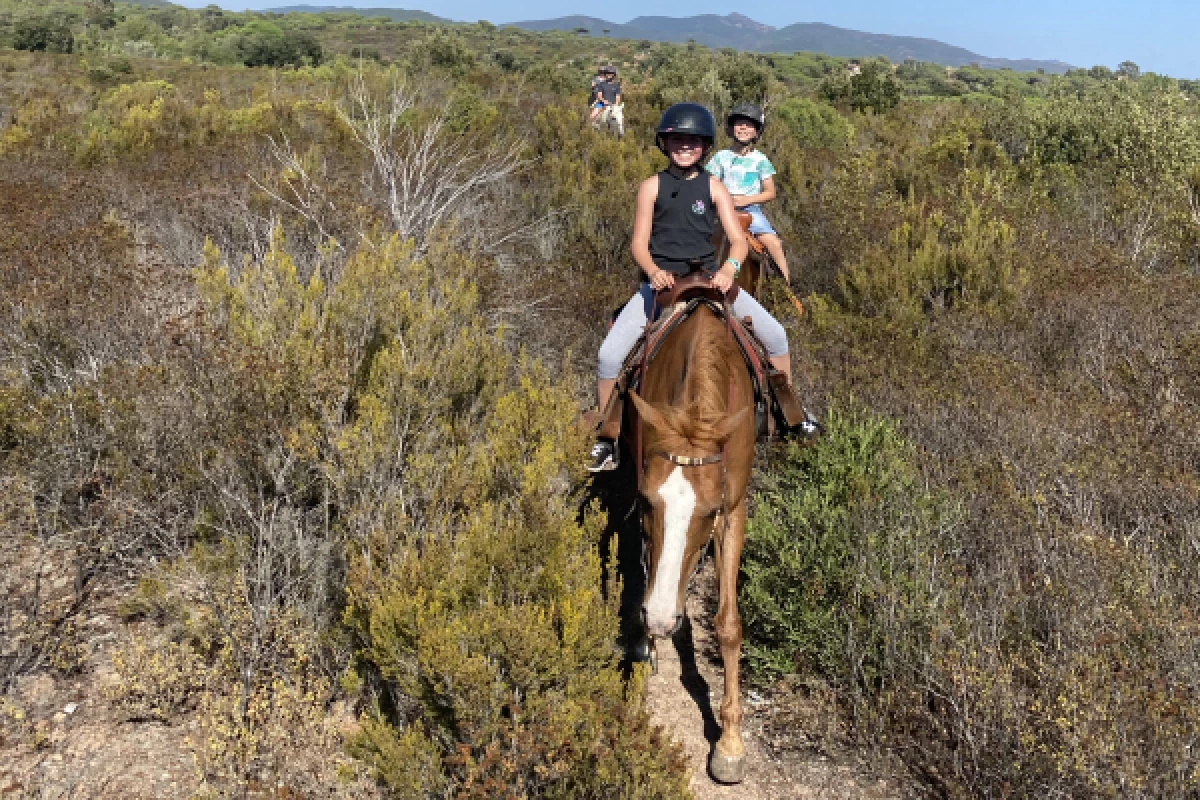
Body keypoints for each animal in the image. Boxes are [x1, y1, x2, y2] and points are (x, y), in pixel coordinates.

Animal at [624, 298, 753, 782]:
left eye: (710, 512)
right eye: (646, 502)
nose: (663, 619)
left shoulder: (734, 510)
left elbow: (729, 624)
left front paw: (730, 743)